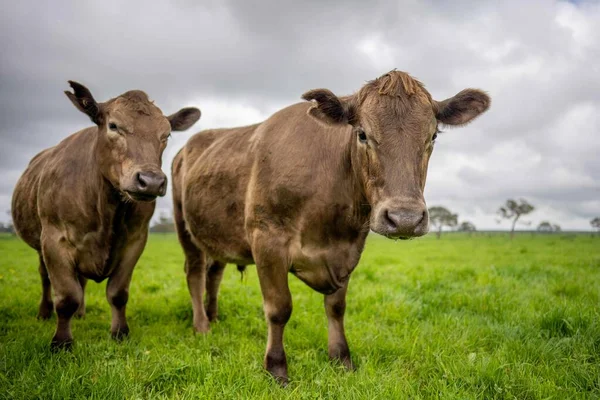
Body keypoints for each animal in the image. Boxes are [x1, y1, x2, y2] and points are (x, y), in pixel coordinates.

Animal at [12, 82, 199, 350]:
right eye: (113, 126)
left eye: (166, 135)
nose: (151, 181)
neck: (107, 209)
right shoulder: (54, 240)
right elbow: (66, 296)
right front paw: (61, 342)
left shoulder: (135, 241)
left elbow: (117, 293)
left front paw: (120, 332)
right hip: (40, 245)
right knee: (45, 277)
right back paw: (44, 313)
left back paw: (81, 313)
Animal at [171, 70, 490, 382]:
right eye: (362, 134)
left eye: (432, 136)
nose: (405, 219)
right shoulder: (267, 239)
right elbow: (279, 308)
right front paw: (276, 367)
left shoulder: (348, 250)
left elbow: (336, 307)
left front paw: (341, 359)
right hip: (183, 225)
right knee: (195, 273)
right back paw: (202, 326)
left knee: (214, 273)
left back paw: (213, 317)